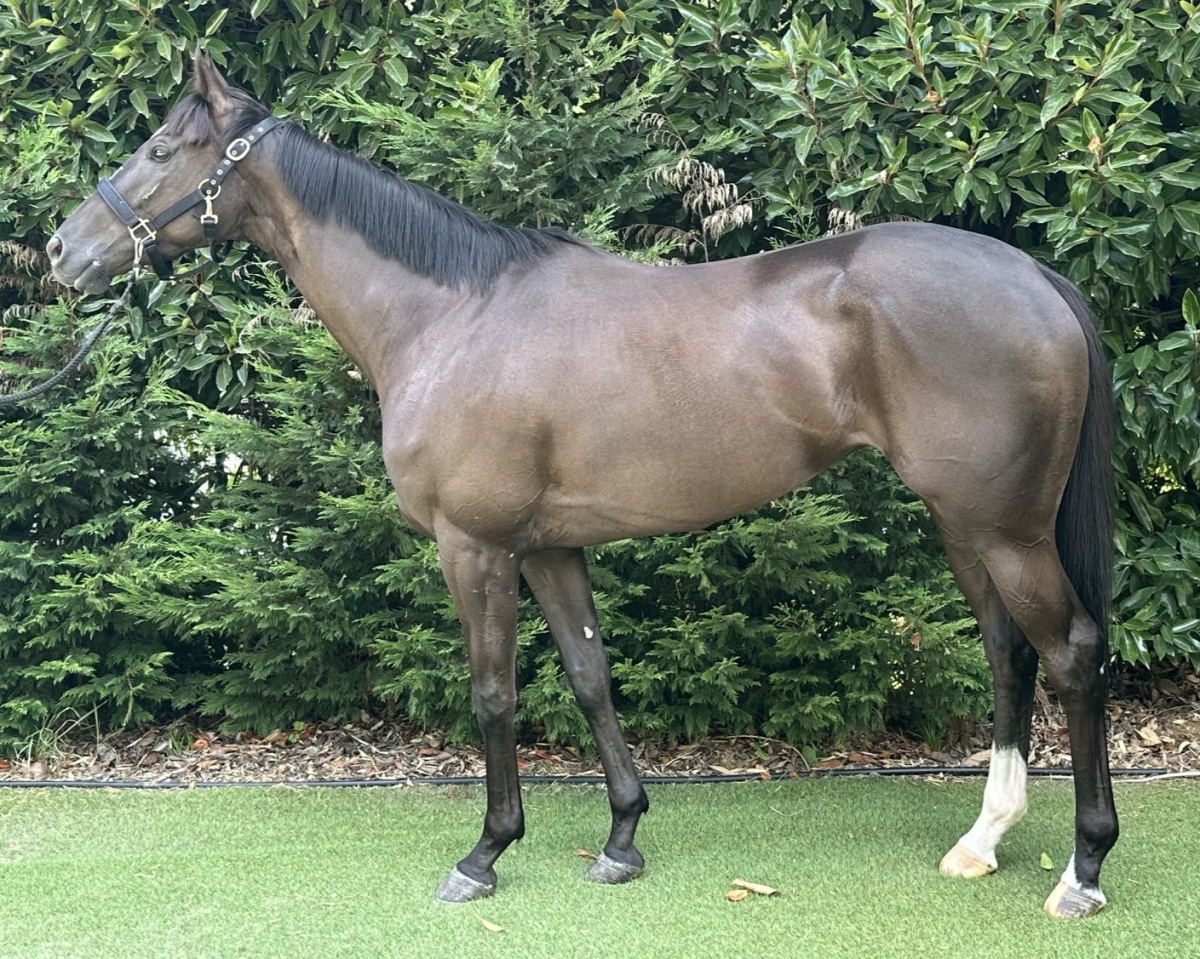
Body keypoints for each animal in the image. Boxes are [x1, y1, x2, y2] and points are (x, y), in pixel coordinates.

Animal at [47, 54, 1118, 918]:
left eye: (158, 146)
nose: (60, 251)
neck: (452, 313)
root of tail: (1038, 278)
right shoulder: (551, 545)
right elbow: (591, 675)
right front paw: (622, 839)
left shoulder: (474, 545)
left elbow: (493, 692)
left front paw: (484, 853)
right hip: (965, 522)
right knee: (1008, 653)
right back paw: (982, 841)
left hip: (1006, 528)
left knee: (1069, 653)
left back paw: (1083, 869)